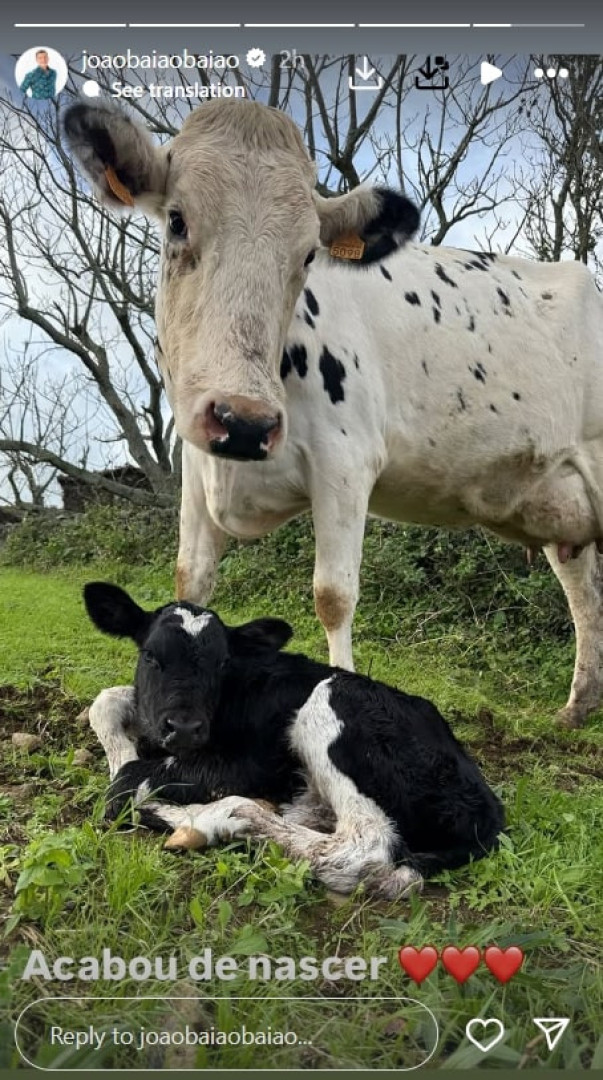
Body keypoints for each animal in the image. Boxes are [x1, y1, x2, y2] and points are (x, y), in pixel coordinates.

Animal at [65, 99, 603, 725]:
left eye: (307, 253)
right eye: (177, 221)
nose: (244, 421)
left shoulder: (345, 462)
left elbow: (333, 595)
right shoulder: (199, 466)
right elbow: (190, 580)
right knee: (583, 591)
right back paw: (576, 709)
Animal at [81, 578, 505, 898]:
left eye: (222, 662)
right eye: (151, 656)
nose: (184, 727)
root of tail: (488, 813)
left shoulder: (249, 763)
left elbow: (126, 781)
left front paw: (135, 783)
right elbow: (104, 702)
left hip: (334, 701)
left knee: (363, 849)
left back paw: (207, 818)